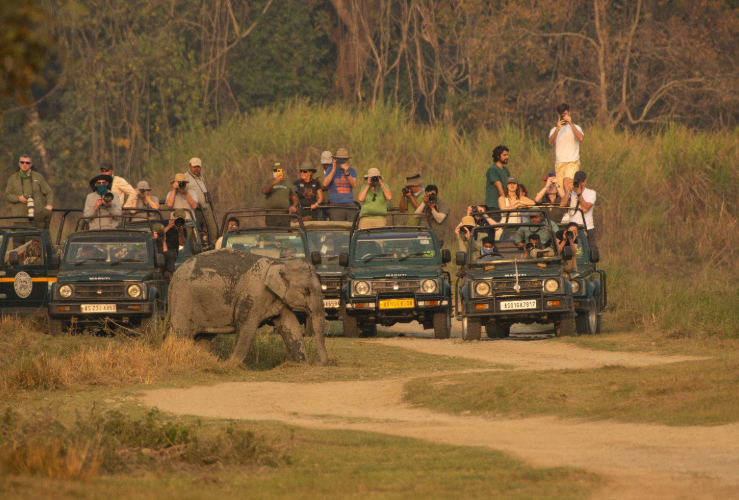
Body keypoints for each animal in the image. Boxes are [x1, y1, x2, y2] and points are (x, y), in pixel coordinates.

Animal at [168, 249, 328, 365]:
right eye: (306, 290)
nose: (320, 363)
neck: (279, 262)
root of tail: (173, 276)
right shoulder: (252, 295)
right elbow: (247, 327)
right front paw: (231, 365)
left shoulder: (277, 298)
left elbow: (290, 325)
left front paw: (303, 365)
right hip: (183, 298)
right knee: (182, 334)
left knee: (203, 337)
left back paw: (203, 360)